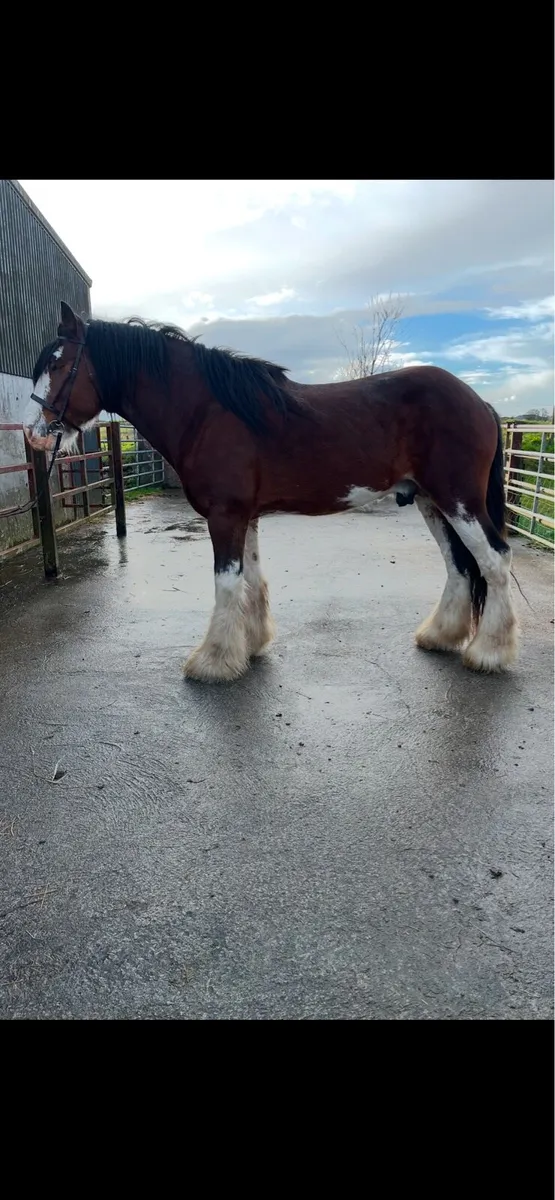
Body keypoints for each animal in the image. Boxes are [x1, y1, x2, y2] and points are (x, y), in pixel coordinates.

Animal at [24, 301, 518, 683]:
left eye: (59, 365)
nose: (34, 436)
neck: (208, 412)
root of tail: (478, 401)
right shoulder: (246, 515)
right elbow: (252, 580)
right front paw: (251, 645)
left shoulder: (225, 515)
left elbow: (227, 583)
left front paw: (213, 662)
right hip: (432, 501)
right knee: (460, 566)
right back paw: (441, 636)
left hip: (459, 500)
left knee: (494, 560)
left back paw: (489, 652)